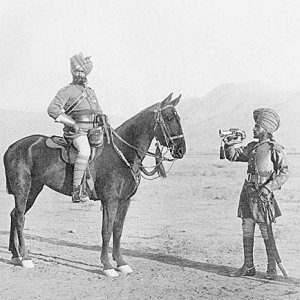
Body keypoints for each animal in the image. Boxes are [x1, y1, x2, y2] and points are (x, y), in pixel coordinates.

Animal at [2, 93, 185, 276]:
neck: (122, 153)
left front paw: (121, 263)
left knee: (14, 214)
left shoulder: (124, 201)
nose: (181, 150)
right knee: (20, 218)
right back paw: (25, 258)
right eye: (169, 118)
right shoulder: (110, 201)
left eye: (178, 118)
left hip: (34, 190)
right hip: (23, 189)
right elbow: (107, 231)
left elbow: (118, 230)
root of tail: (12, 147)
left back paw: (15, 254)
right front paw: (107, 265)